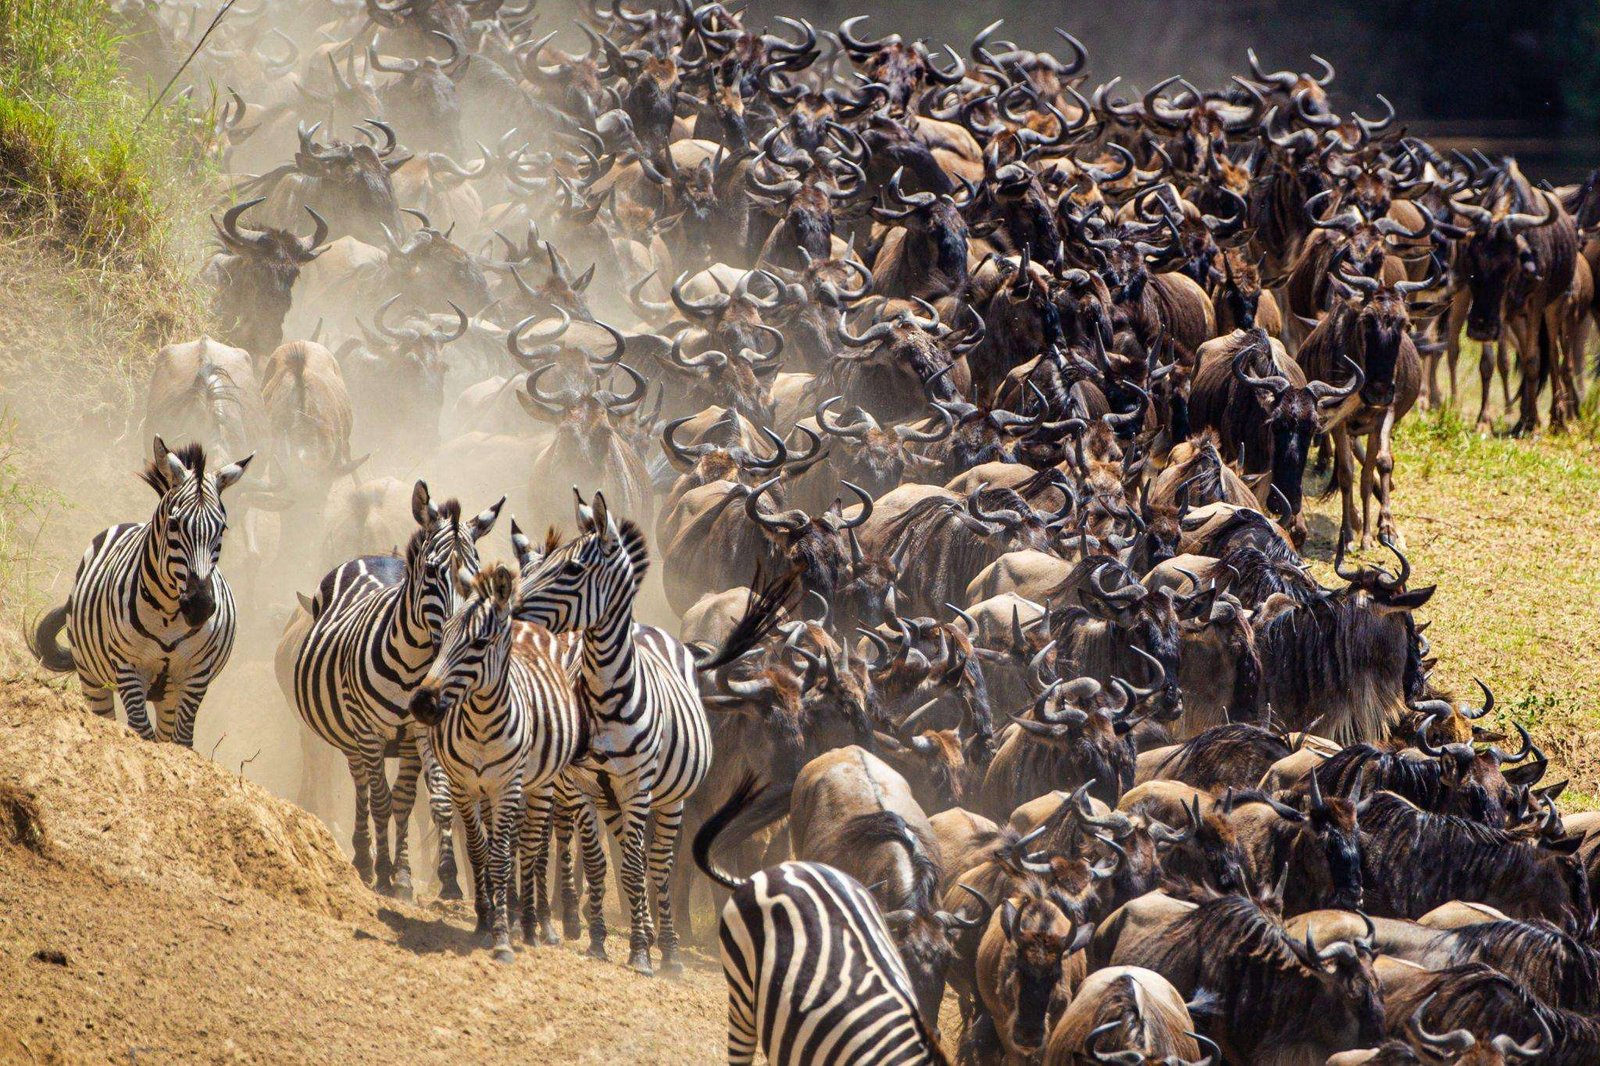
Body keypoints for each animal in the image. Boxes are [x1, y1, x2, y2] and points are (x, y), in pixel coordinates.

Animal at [31, 435, 248, 742]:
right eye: (174, 523)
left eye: (222, 529)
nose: (200, 606)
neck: (169, 614)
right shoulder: (128, 667)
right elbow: (140, 731)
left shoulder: (195, 676)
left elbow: (181, 741)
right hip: (91, 676)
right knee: (105, 717)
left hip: (169, 694)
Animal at [292, 480, 499, 896]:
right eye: (433, 572)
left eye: (475, 576)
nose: (461, 634)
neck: (414, 666)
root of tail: (373, 556)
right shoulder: (370, 732)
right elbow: (382, 802)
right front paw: (385, 869)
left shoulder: (420, 732)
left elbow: (422, 800)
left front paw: (422, 877)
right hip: (351, 734)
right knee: (362, 788)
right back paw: (362, 859)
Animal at [409, 557, 585, 953]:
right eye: (442, 636)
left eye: (478, 642)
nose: (422, 703)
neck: (482, 723)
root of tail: (526, 624)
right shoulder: (463, 787)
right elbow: (479, 850)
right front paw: (484, 919)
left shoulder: (508, 787)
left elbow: (504, 855)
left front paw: (504, 933)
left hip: (541, 784)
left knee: (534, 848)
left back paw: (535, 925)